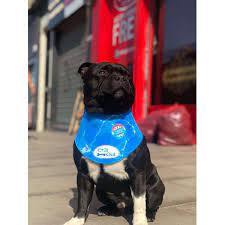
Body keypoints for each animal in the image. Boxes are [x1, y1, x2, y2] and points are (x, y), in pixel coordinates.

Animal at [63, 62, 165, 225]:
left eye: (128, 76)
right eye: (102, 72)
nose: (121, 78)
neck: (107, 116)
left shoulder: (138, 174)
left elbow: (140, 202)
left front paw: (140, 221)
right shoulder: (83, 174)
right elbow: (83, 200)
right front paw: (77, 220)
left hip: (156, 187)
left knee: (150, 203)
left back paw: (149, 215)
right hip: (100, 190)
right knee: (116, 206)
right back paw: (107, 209)